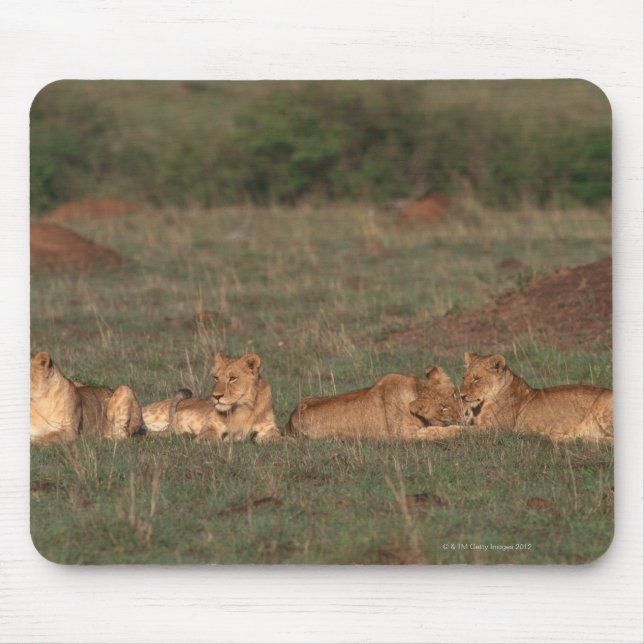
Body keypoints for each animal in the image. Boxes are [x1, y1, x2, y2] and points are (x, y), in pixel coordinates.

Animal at [142, 352, 281, 443]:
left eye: (232, 378)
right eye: (216, 378)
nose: (216, 396)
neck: (243, 408)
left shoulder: (268, 427)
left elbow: (280, 438)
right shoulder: (212, 424)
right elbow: (207, 435)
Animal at [285, 365, 466, 440]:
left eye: (454, 395)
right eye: (443, 408)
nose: (462, 416)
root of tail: (289, 420)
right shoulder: (402, 435)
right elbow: (435, 432)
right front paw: (461, 430)